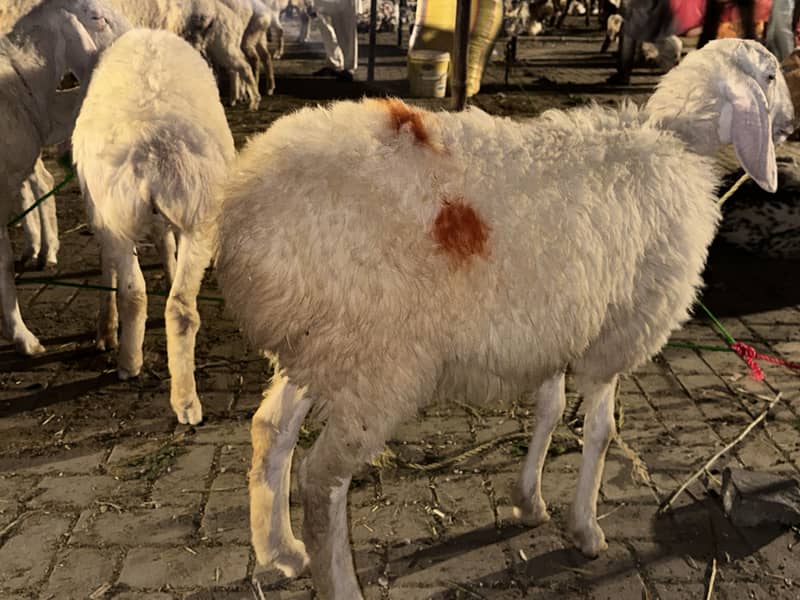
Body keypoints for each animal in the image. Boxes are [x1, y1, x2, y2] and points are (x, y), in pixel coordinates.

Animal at [72, 27, 236, 425]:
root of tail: (156, 145)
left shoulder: (100, 212)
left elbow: (109, 272)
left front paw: (106, 331)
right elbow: (165, 243)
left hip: (114, 213)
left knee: (133, 293)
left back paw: (128, 363)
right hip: (200, 214)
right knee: (180, 307)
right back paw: (186, 402)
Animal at [214, 39, 795, 597]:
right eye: (770, 75)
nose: (790, 123)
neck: (676, 144)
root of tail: (244, 204)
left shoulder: (557, 328)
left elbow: (549, 410)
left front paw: (528, 500)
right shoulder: (612, 337)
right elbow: (600, 432)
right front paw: (585, 529)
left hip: (319, 341)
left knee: (272, 428)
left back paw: (282, 551)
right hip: (377, 360)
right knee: (323, 480)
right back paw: (338, 582)